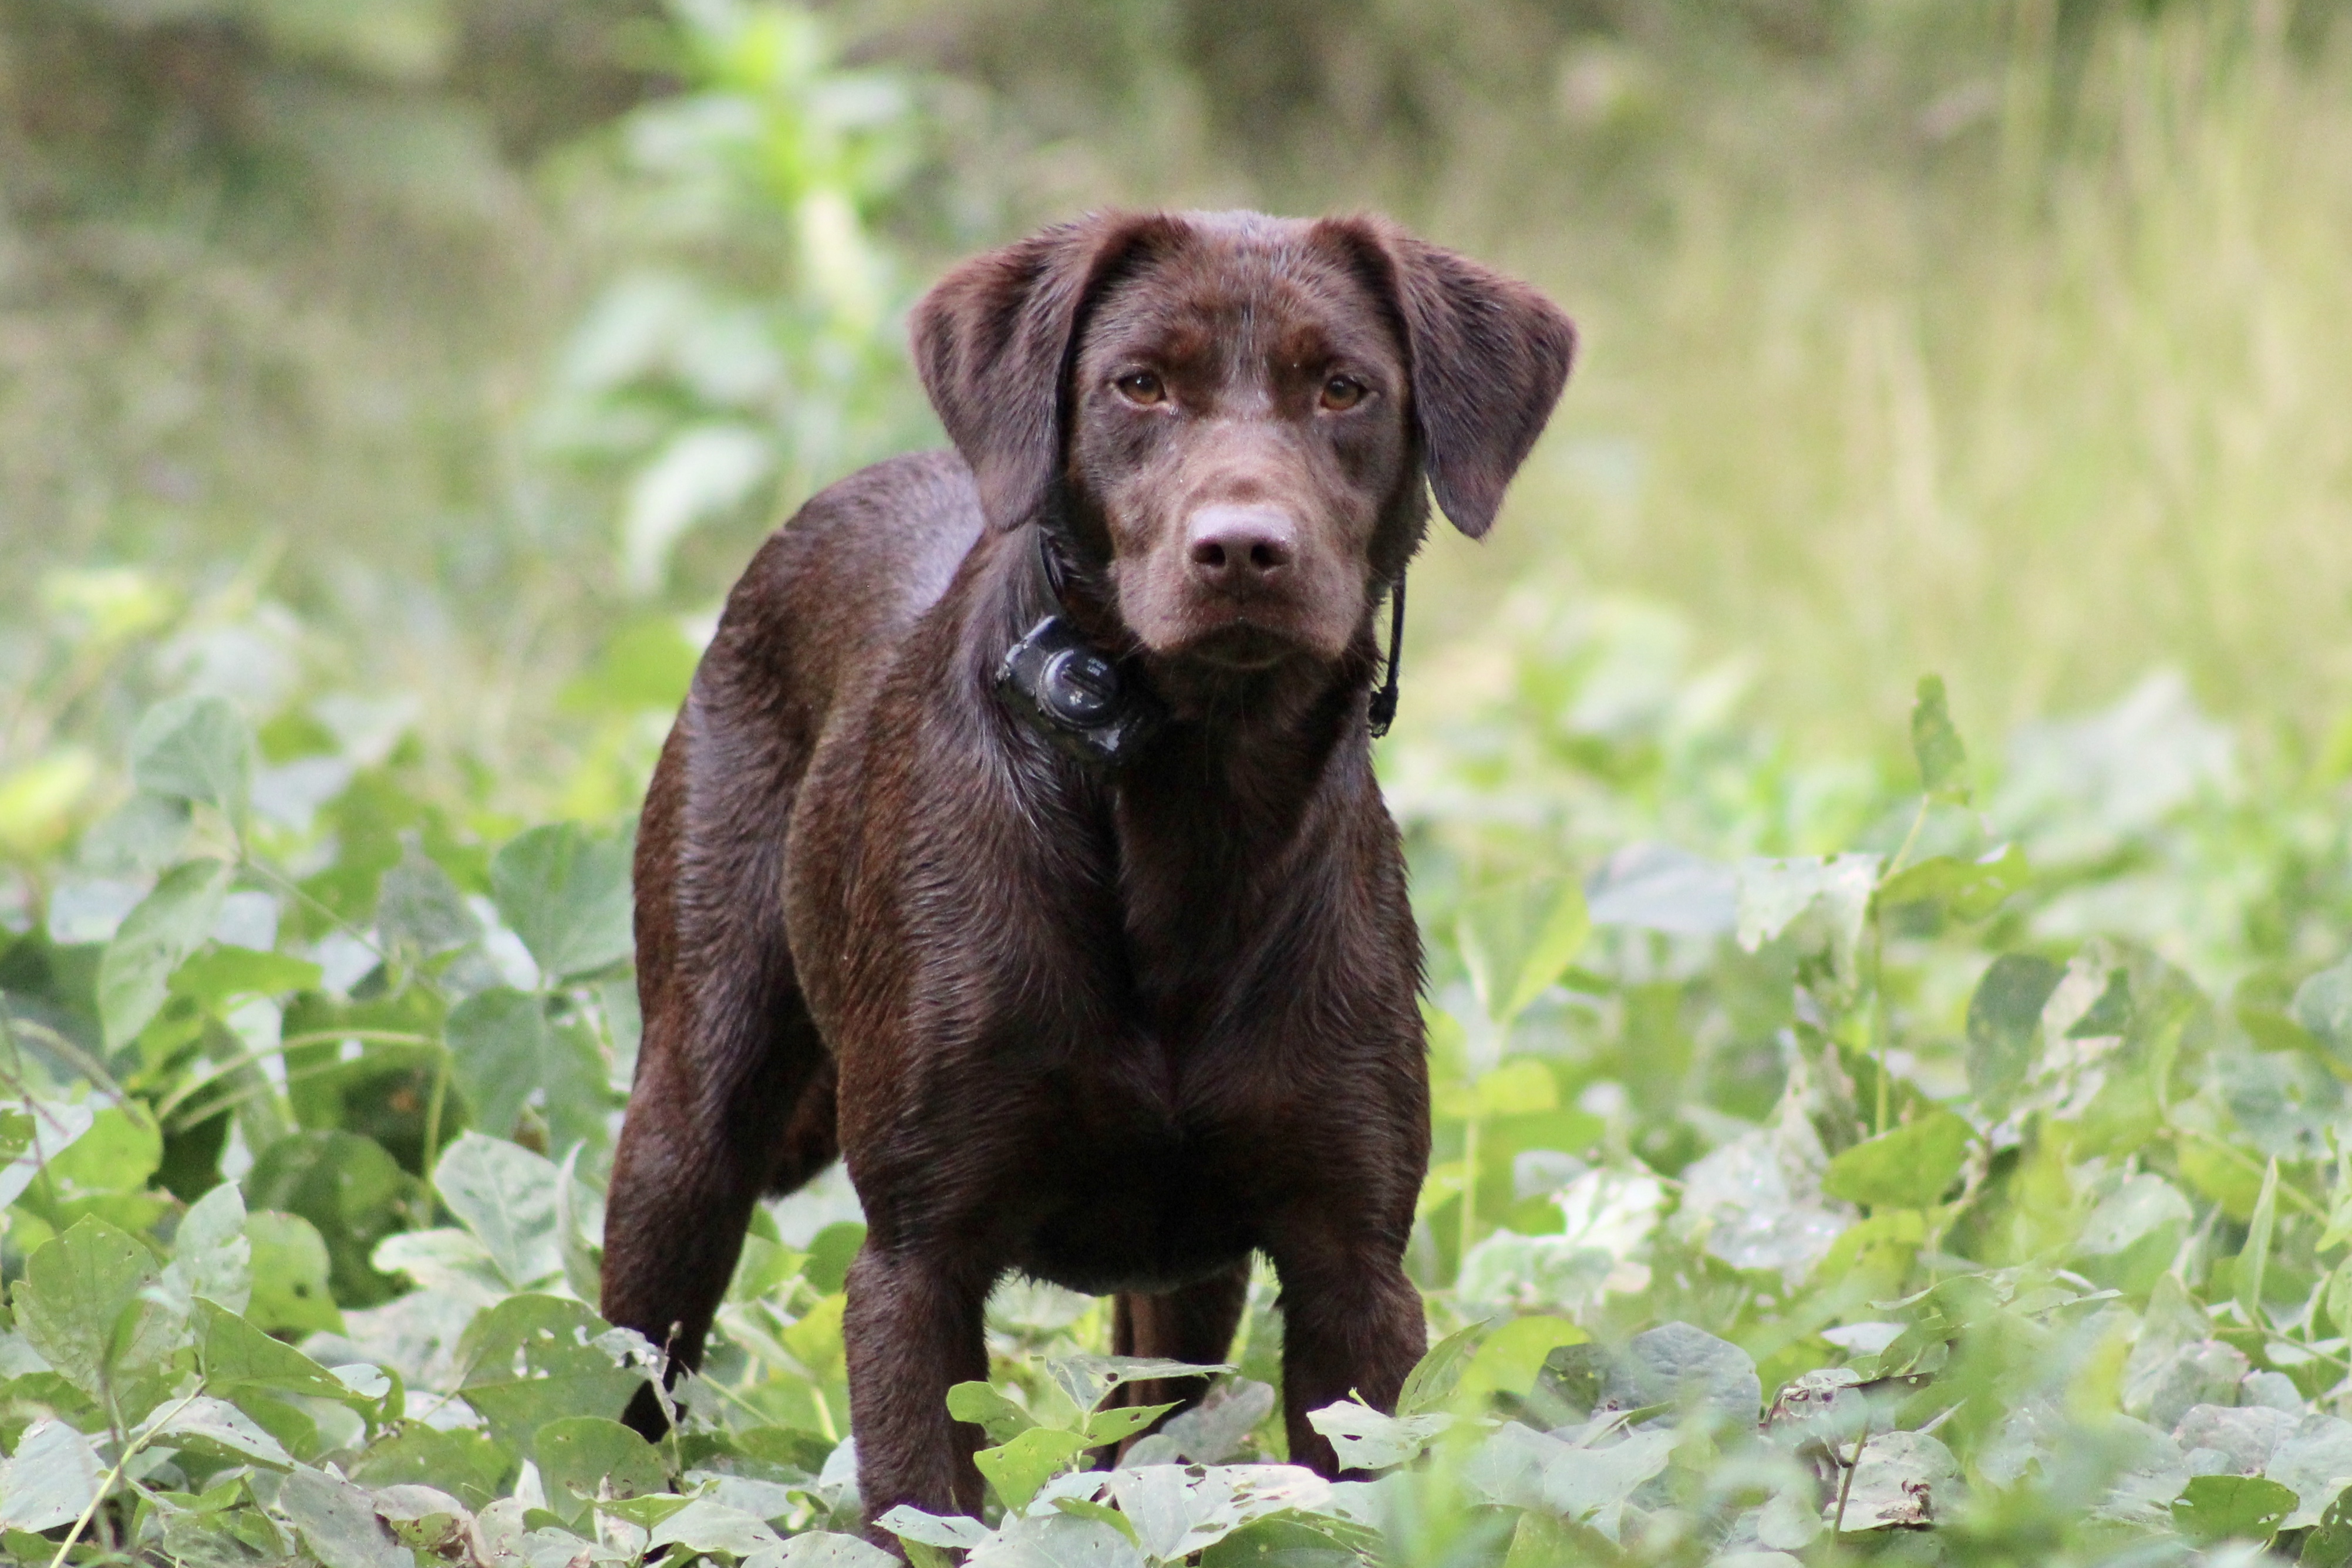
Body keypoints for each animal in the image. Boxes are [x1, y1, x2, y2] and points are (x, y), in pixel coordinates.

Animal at [597, 208, 1571, 1532]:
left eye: (1343, 388)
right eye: (1139, 385)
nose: (1242, 549)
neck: (1191, 809)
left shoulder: (1352, 1269)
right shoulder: (914, 1262)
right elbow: (925, 1512)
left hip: (1185, 1296)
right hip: (687, 1127)